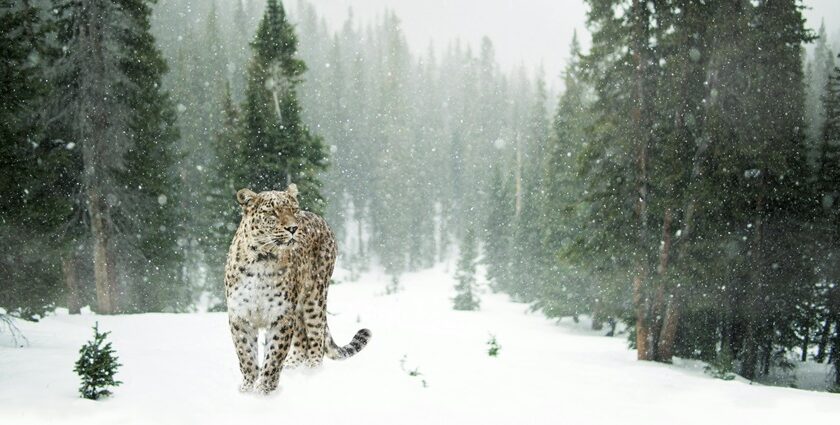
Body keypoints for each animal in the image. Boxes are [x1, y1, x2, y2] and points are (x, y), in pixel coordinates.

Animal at [223, 183, 370, 394]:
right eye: (272, 212)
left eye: (294, 210)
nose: (293, 228)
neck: (262, 260)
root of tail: (320, 219)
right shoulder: (240, 316)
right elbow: (246, 355)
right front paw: (247, 388)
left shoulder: (281, 316)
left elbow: (274, 355)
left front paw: (264, 390)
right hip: (298, 308)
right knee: (301, 339)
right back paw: (293, 366)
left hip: (315, 297)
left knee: (316, 336)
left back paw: (312, 371)